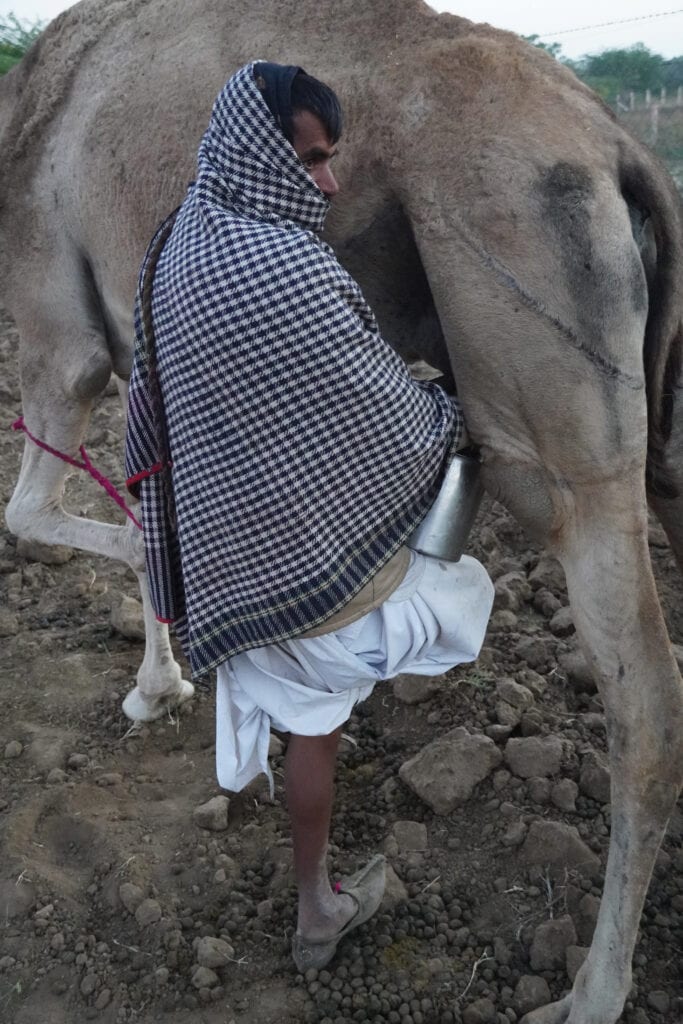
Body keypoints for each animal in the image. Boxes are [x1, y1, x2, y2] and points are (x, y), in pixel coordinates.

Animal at [1, 2, 683, 1024]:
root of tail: (618, 143)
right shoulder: (141, 356)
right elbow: (140, 506)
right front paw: (161, 687)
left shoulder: (61, 334)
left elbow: (37, 517)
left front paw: (162, 684)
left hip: (545, 363)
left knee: (641, 696)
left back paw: (589, 994)